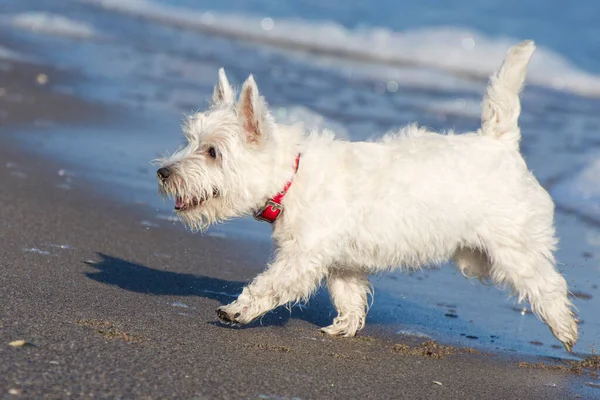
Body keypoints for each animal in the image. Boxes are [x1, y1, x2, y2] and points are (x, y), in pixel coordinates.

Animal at [157, 41, 580, 350]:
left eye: (213, 152)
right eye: (190, 141)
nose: (163, 173)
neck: (293, 176)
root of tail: (501, 143)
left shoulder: (303, 256)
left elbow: (271, 284)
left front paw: (237, 310)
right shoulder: (343, 264)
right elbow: (349, 296)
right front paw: (344, 326)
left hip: (514, 248)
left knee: (548, 284)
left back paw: (565, 328)